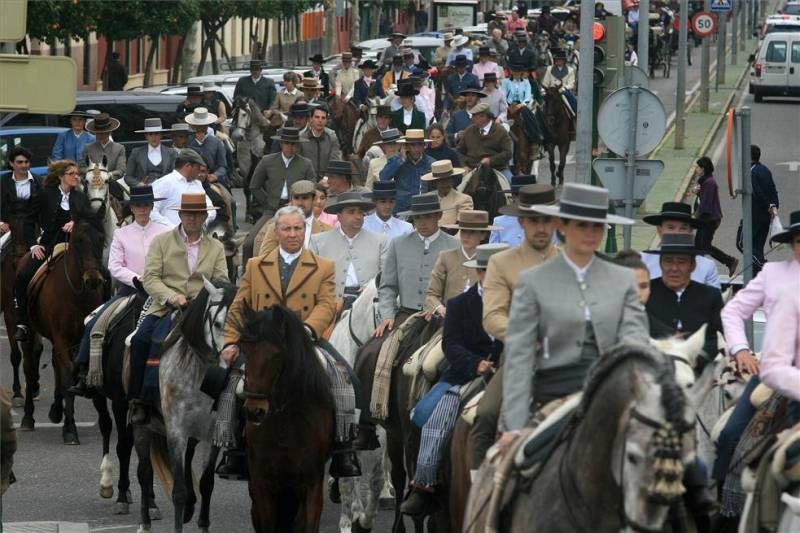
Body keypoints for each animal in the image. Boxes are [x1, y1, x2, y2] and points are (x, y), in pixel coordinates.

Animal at [18, 218, 108, 442]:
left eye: (101, 238)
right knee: (30, 367)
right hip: (30, 333)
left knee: (55, 364)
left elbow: (71, 373)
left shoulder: (78, 339)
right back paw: (27, 418)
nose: (93, 280)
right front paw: (70, 430)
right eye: (78, 240)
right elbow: (67, 372)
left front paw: (64, 416)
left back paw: (56, 410)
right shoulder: (60, 336)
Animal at [236, 304, 336, 532]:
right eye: (244, 350)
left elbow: (308, 524)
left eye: (276, 356)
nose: (254, 411)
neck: (285, 420)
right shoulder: (262, 482)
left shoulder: (311, 481)